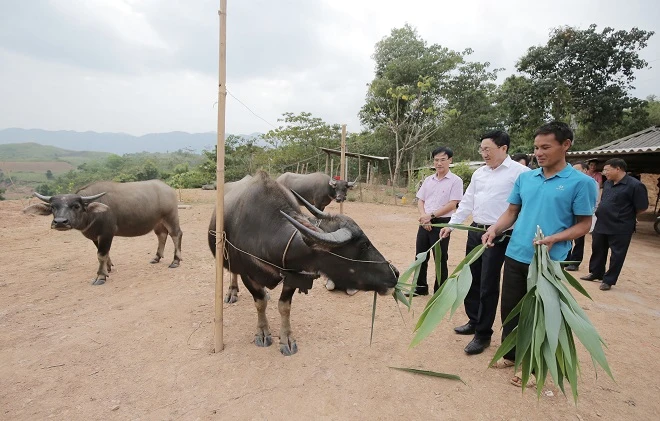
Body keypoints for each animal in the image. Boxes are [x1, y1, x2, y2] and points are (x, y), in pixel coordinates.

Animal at [22, 179, 182, 284]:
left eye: (76, 206)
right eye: (53, 207)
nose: (60, 222)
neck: (92, 213)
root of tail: (167, 188)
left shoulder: (107, 233)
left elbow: (101, 254)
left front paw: (100, 276)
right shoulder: (95, 236)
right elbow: (103, 253)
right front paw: (108, 267)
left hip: (170, 216)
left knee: (176, 234)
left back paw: (175, 261)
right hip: (158, 222)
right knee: (162, 235)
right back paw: (157, 257)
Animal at [209, 171, 400, 354]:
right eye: (363, 245)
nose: (395, 273)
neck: (264, 233)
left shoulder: (293, 275)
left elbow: (284, 306)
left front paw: (286, 338)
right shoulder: (248, 275)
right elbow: (260, 303)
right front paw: (262, 332)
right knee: (233, 272)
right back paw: (232, 292)